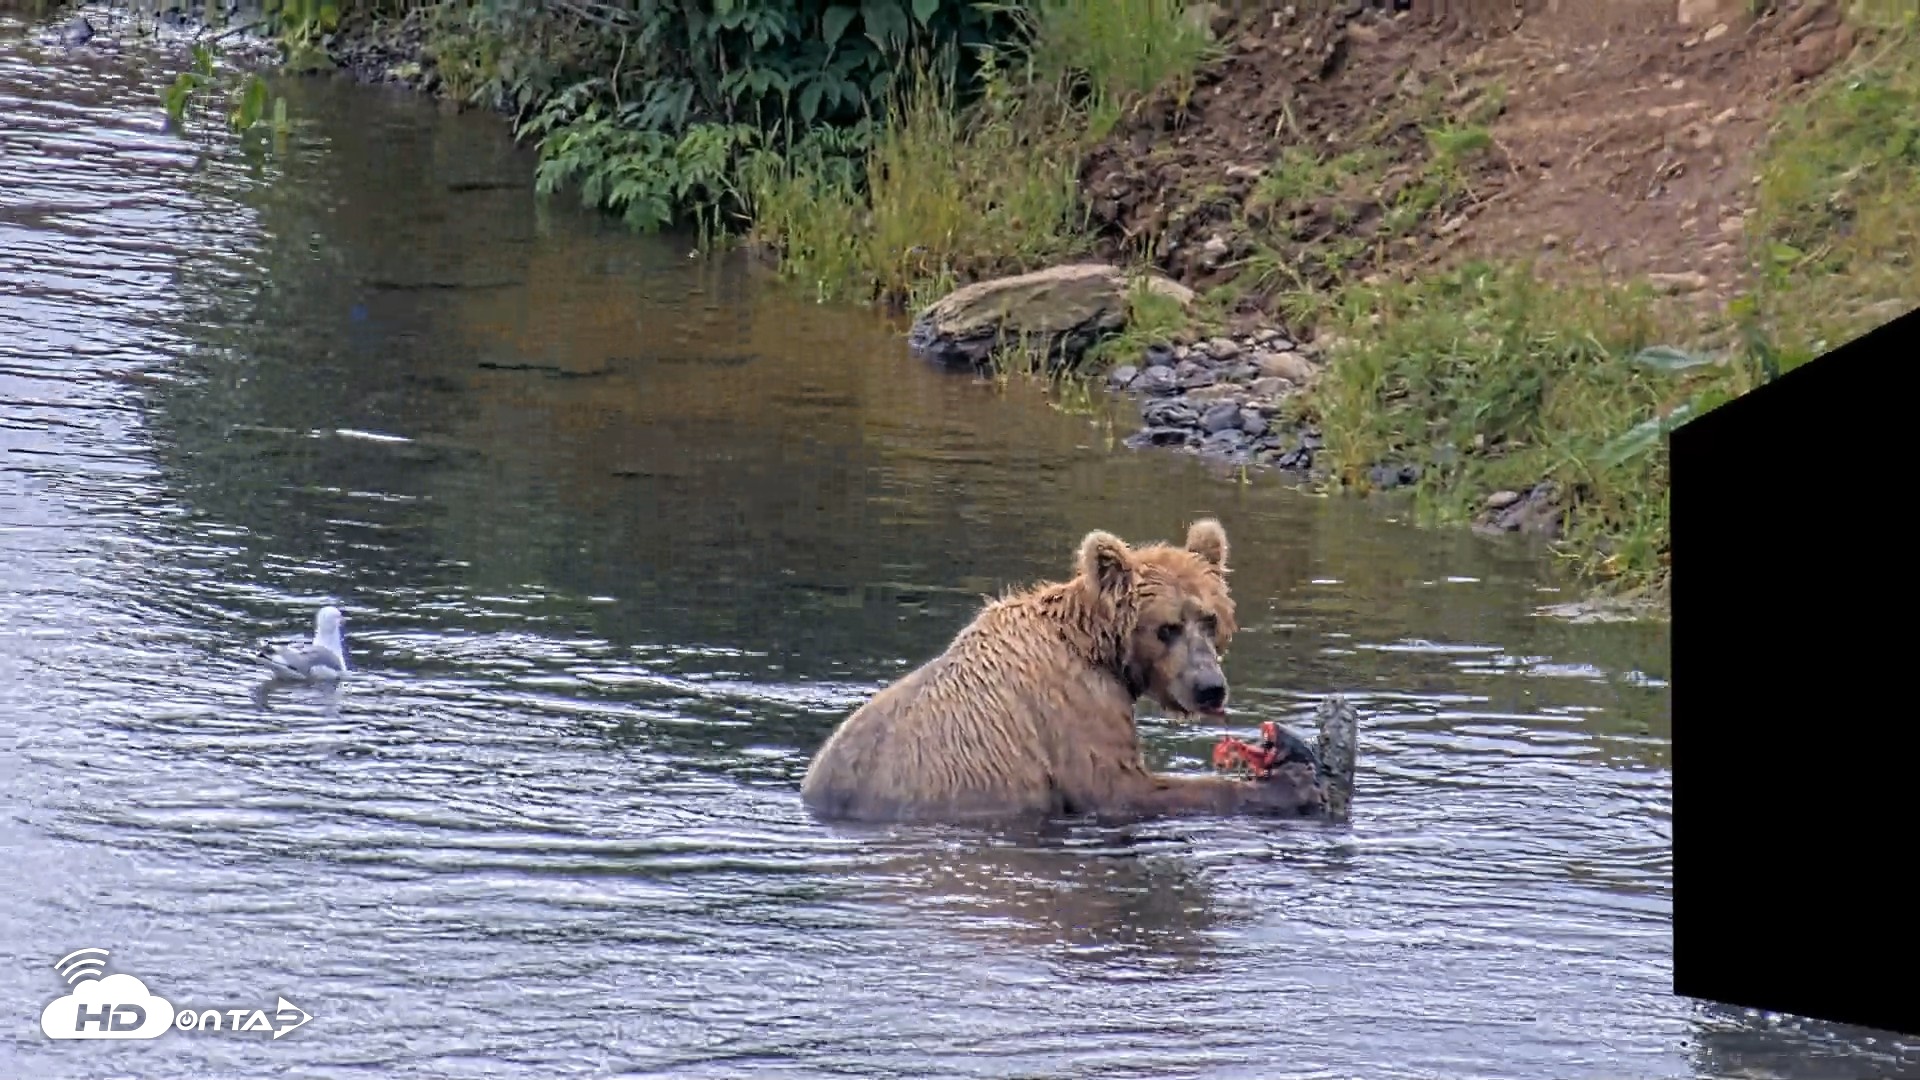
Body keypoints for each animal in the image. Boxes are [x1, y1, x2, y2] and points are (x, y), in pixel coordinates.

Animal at [799, 518, 1334, 825]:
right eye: (1167, 628)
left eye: (1210, 619)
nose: (1209, 688)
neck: (1096, 648)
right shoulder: (1074, 705)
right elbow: (1120, 789)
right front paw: (1291, 785)